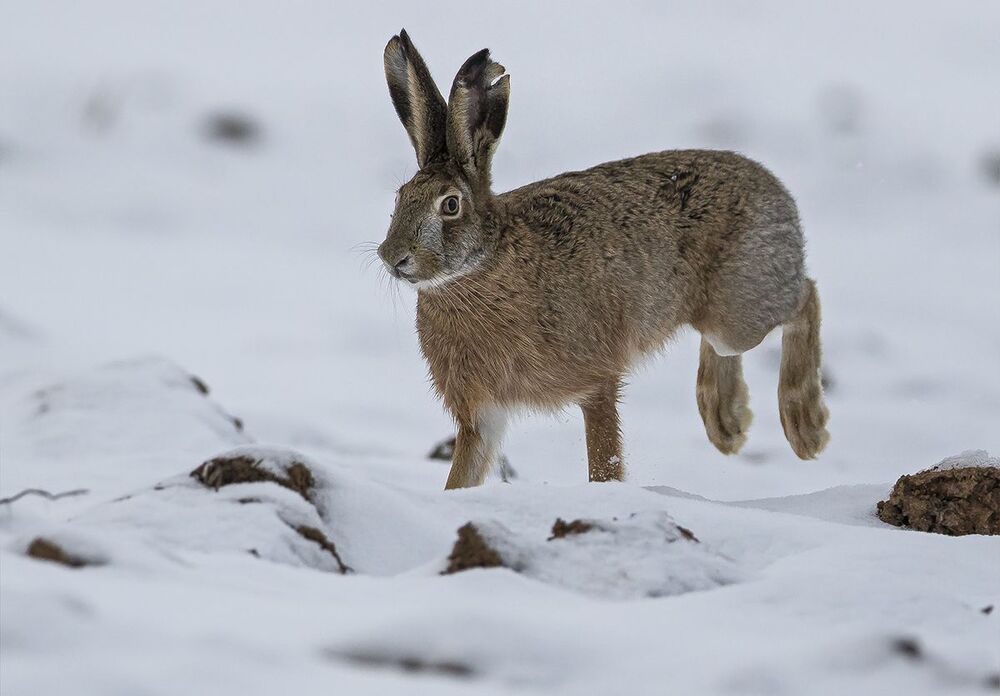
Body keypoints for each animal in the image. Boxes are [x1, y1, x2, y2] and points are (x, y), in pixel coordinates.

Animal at [377, 30, 830, 489]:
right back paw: (726, 422)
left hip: (738, 311)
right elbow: (464, 474)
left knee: (805, 298)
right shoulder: (482, 415)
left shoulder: (595, 382)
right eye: (399, 199)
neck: (482, 269)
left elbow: (605, 461)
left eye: (450, 205)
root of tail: (774, 188)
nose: (392, 256)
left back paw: (805, 428)